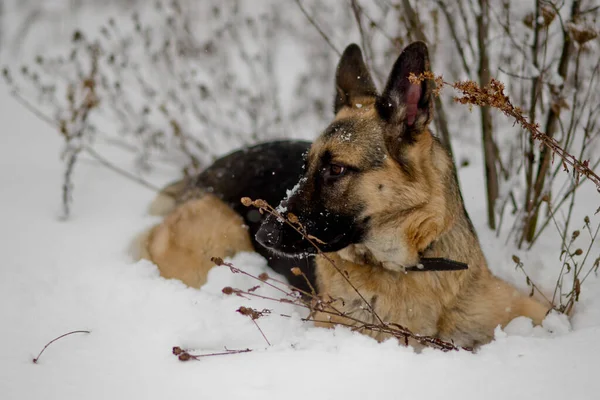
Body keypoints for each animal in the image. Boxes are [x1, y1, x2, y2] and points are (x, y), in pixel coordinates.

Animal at [135, 39, 548, 346]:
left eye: (335, 170)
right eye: (305, 167)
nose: (263, 235)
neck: (412, 262)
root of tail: (202, 175)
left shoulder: (525, 308)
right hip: (219, 238)